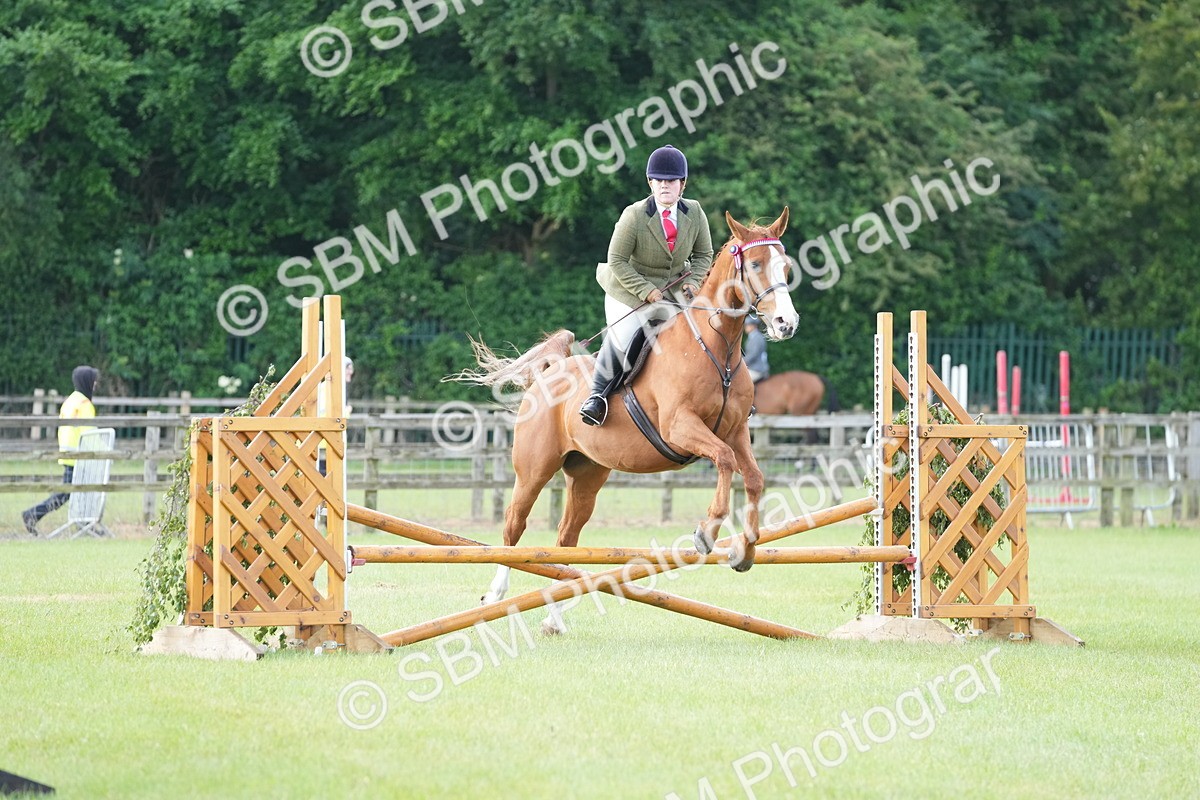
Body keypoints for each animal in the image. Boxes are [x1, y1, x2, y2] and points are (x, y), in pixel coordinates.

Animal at [455, 208, 798, 633]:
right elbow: (724, 460)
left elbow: (752, 478)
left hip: (586, 474)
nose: (786, 323)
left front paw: (745, 550)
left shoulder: (735, 431)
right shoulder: (680, 427)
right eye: (754, 265)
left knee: (565, 538)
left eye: (786, 266)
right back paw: (494, 597)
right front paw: (707, 532)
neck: (716, 346)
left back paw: (553, 619)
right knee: (513, 525)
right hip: (533, 469)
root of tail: (551, 371)